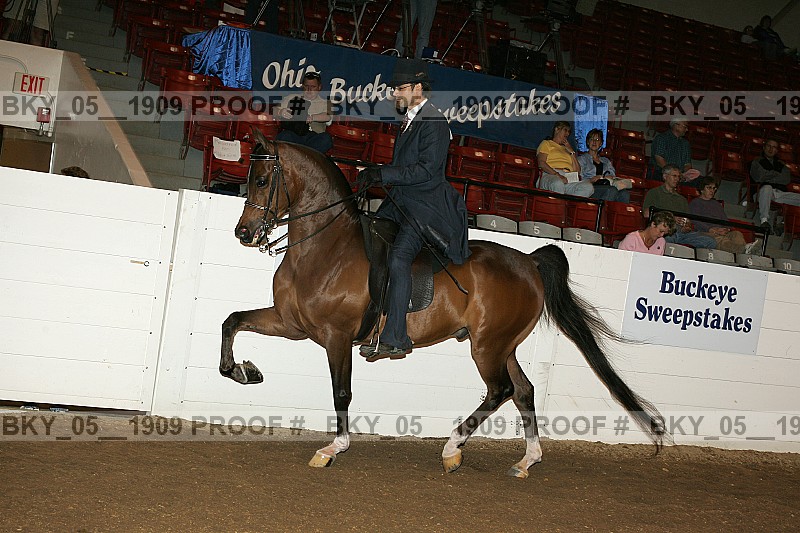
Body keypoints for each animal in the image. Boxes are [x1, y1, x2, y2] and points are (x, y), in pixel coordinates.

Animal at [220, 130, 666, 478]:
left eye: (263, 179)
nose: (244, 233)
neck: (325, 249)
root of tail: (528, 261)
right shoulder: (290, 323)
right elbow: (232, 321)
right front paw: (243, 371)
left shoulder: (337, 336)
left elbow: (341, 392)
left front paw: (333, 448)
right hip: (502, 345)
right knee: (523, 391)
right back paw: (526, 460)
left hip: (487, 346)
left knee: (502, 390)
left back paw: (453, 447)